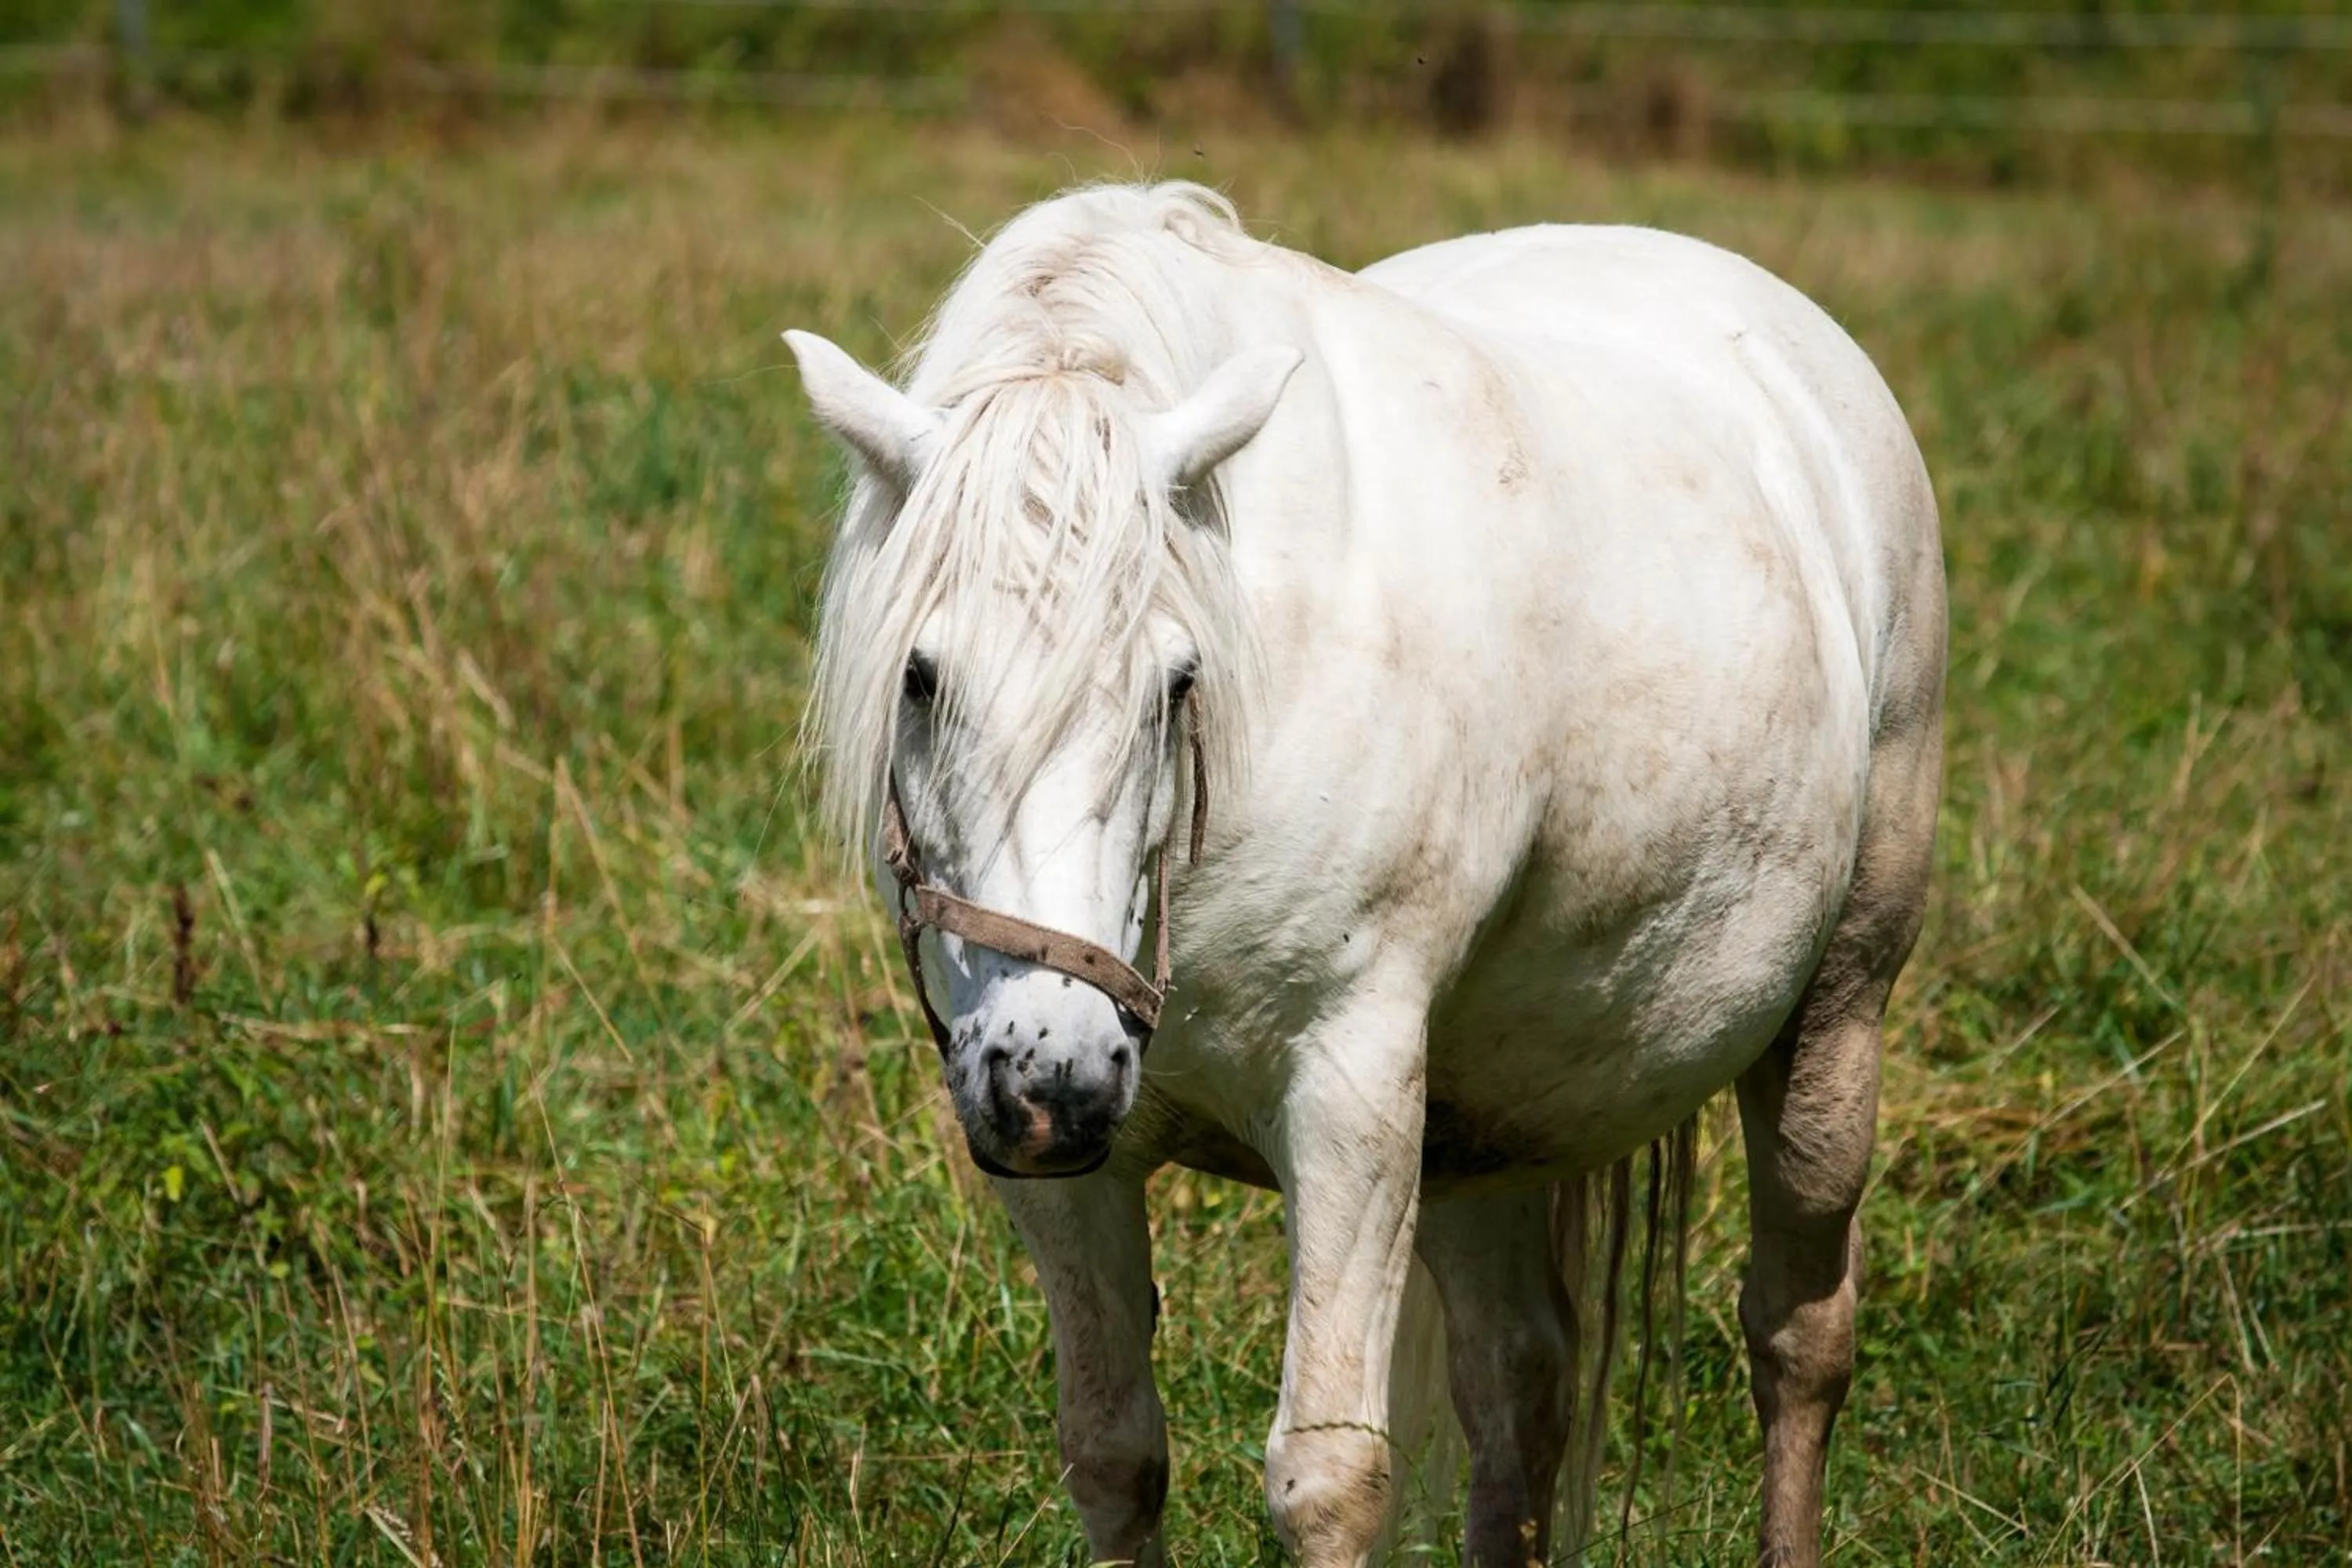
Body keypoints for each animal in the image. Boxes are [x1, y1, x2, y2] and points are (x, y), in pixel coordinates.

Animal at [784, 181, 1943, 1568]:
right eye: (919, 675)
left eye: (1177, 682)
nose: (1056, 1074)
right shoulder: (1058, 1161)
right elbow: (1112, 1450)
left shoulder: (1349, 1096)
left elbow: (1328, 1477)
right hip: (1488, 1126)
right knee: (1521, 1387)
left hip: (1836, 1013)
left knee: (1796, 1338)